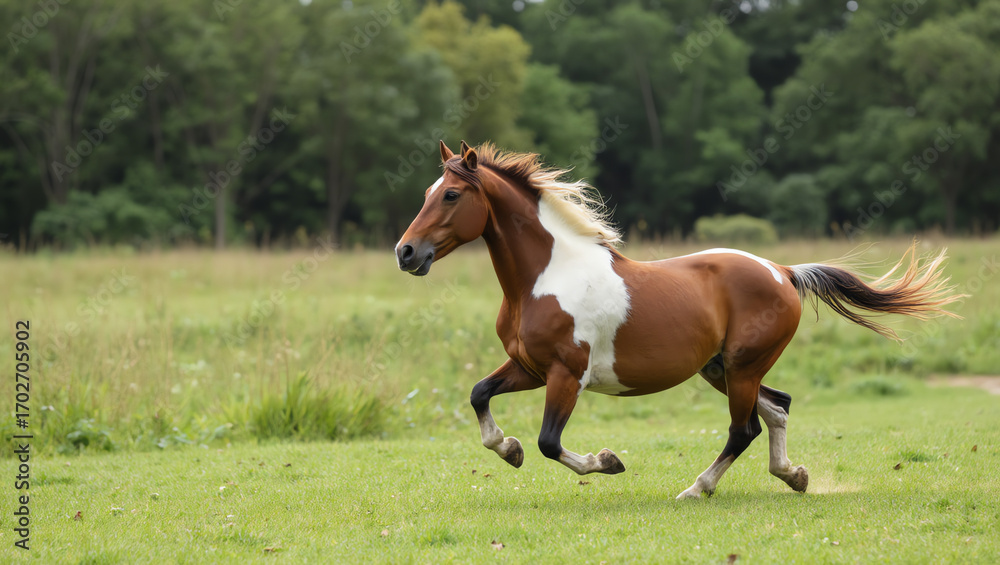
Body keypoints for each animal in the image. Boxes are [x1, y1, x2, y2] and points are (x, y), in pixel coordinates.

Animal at [394, 140, 962, 499]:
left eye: (450, 195)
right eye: (425, 194)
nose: (406, 253)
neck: (544, 277)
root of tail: (782, 271)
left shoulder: (565, 375)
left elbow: (549, 443)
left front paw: (607, 461)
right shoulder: (528, 368)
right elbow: (479, 396)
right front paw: (508, 449)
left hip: (742, 366)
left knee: (745, 428)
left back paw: (697, 488)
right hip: (721, 368)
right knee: (778, 408)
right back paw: (793, 476)